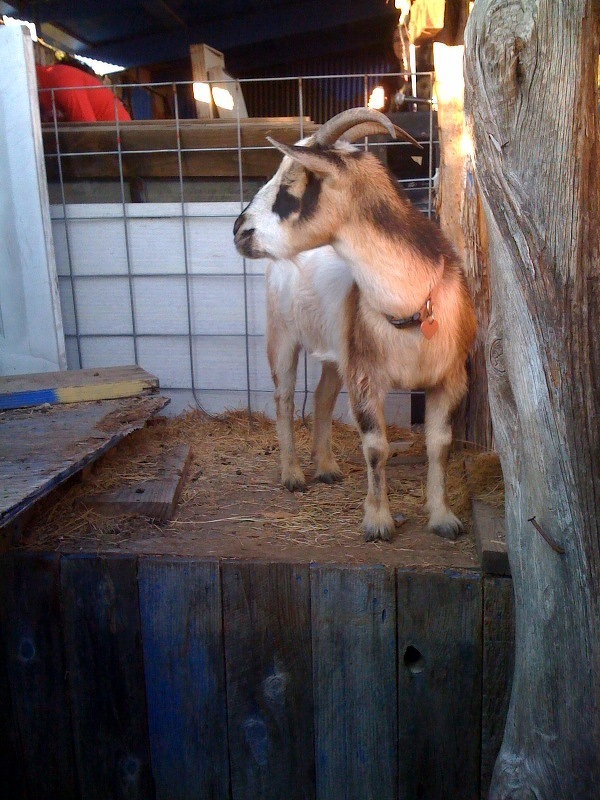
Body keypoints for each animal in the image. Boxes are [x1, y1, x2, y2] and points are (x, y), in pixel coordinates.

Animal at [233, 108, 476, 541]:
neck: (411, 310)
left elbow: (440, 444)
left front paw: (443, 517)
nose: (238, 230)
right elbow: (376, 447)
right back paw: (293, 474)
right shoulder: (366, 377)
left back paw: (327, 467)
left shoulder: (449, 379)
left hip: (336, 350)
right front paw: (378, 521)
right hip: (282, 336)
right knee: (284, 397)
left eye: (290, 187)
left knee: (323, 395)